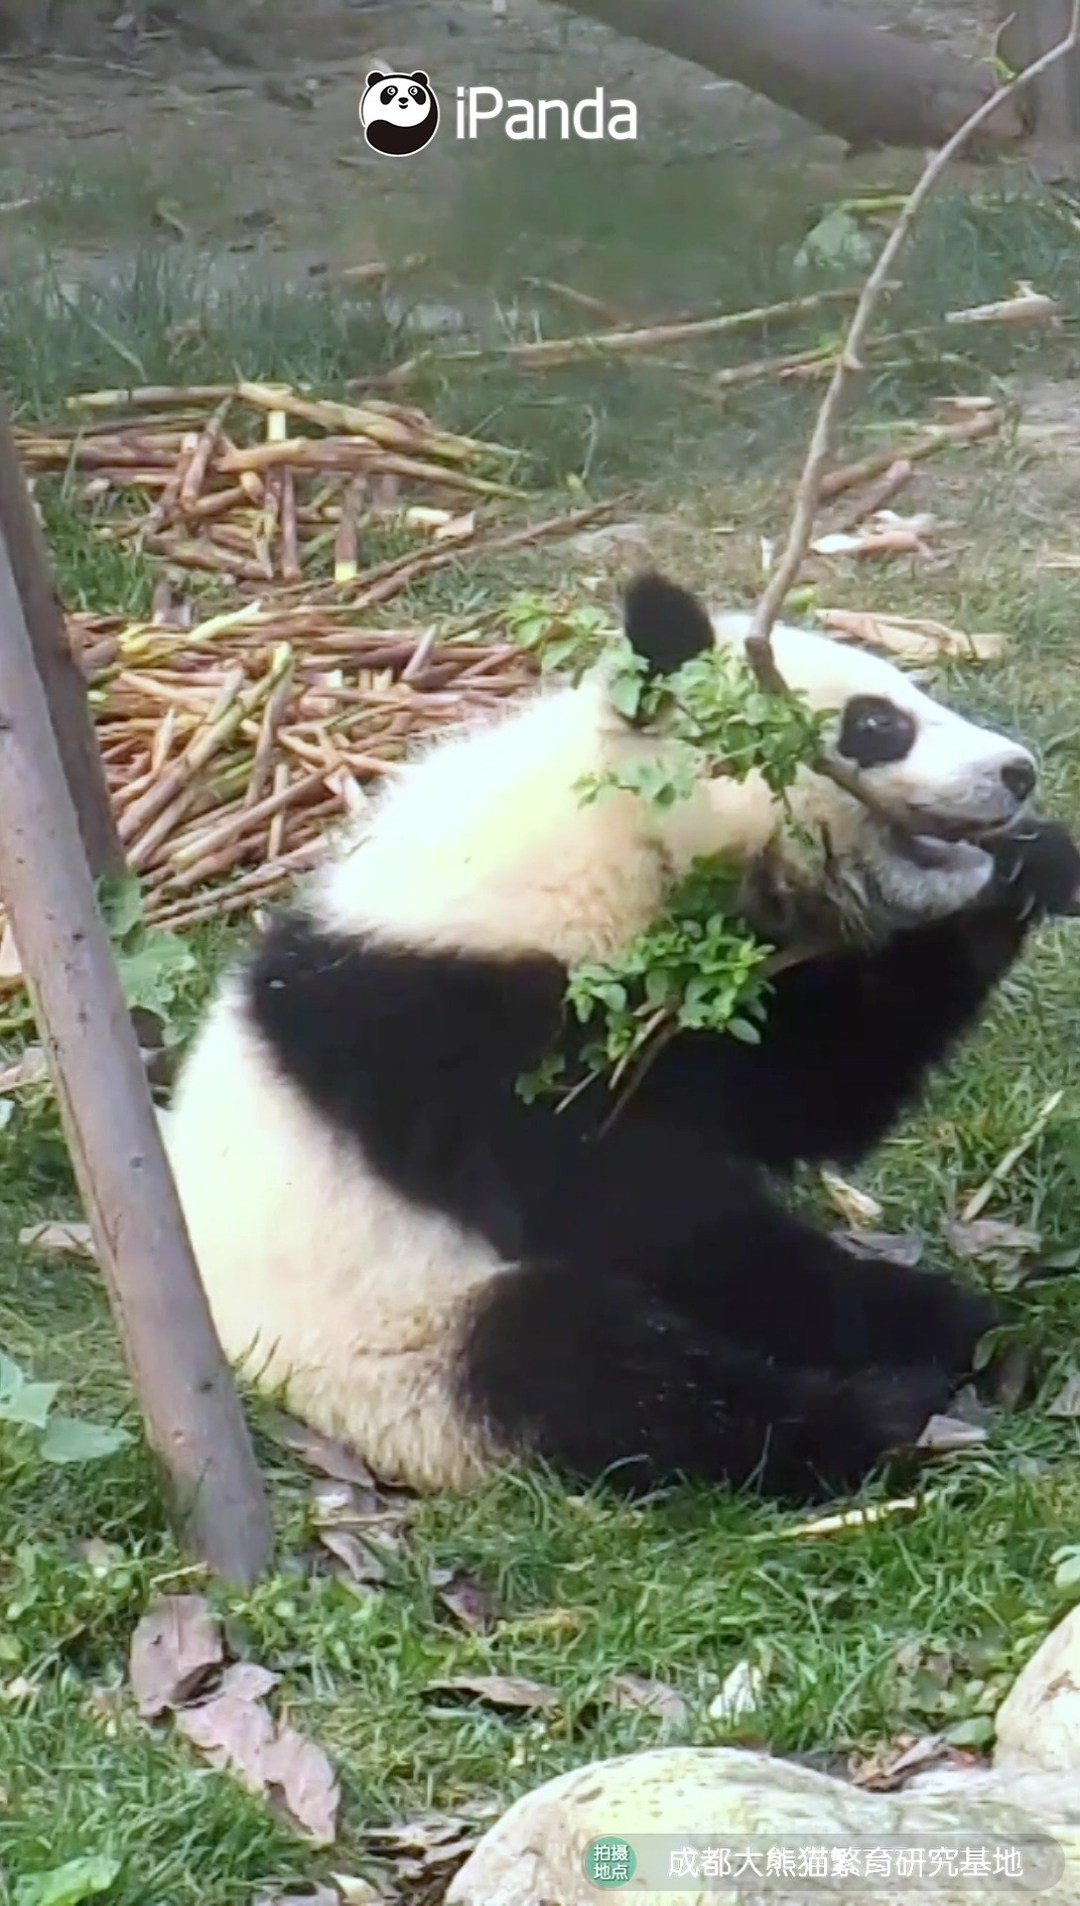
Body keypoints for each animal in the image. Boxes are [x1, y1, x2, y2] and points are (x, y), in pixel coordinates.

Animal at [163, 571, 1080, 1506]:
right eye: (876, 724)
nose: (1017, 771)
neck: (606, 833)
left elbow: (808, 1093)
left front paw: (1030, 865)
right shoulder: (452, 1027)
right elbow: (645, 1215)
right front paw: (913, 1319)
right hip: (400, 1344)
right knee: (595, 1374)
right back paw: (872, 1416)